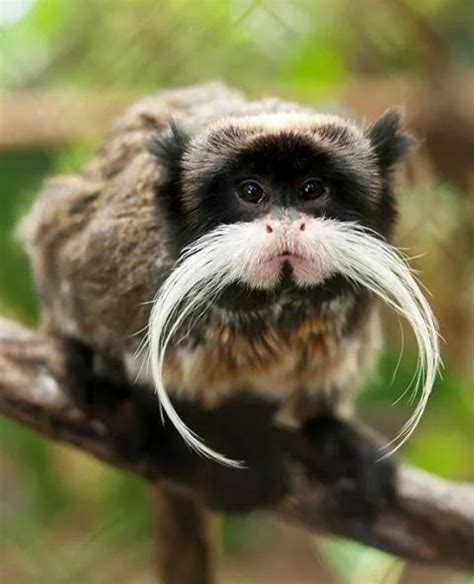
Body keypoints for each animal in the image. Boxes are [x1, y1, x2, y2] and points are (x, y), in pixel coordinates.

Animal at [18, 84, 440, 580]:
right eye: (251, 192)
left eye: (311, 190)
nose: (285, 224)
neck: (271, 308)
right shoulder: (115, 258)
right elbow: (56, 242)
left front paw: (328, 430)